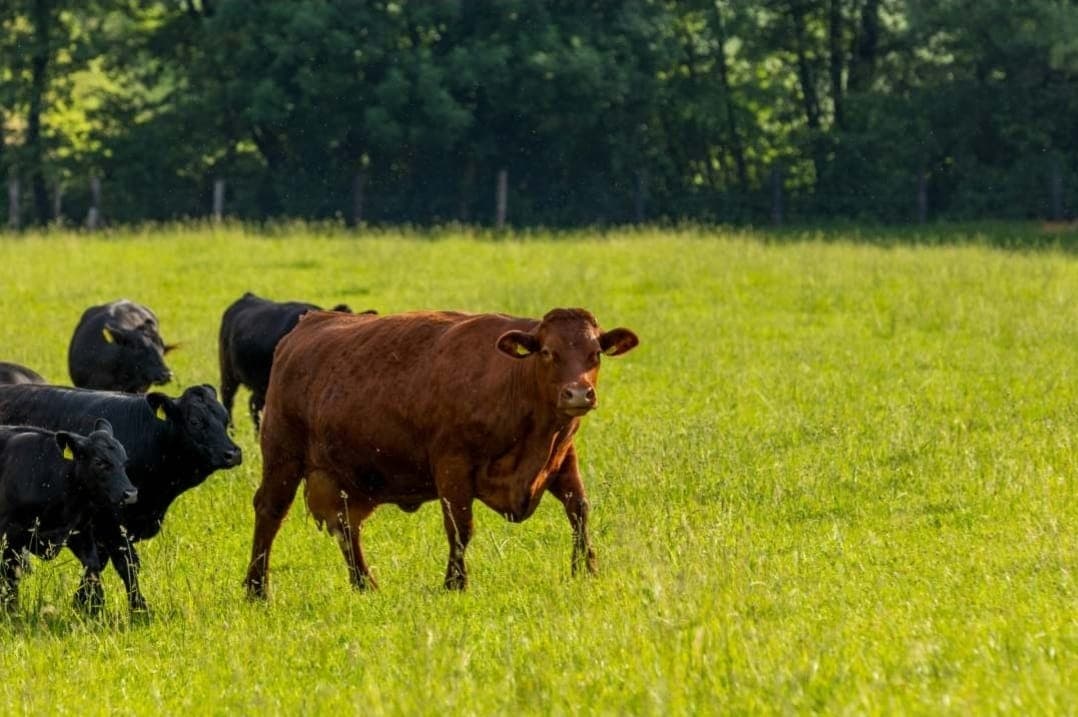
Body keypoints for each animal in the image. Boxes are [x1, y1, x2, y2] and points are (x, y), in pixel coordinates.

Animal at [0, 419, 137, 611]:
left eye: (124, 461)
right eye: (99, 462)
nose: (130, 493)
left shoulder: (78, 530)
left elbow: (92, 566)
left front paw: (92, 608)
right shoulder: (11, 536)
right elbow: (10, 580)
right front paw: (11, 612)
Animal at [244, 307, 638, 598]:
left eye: (595, 354)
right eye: (547, 352)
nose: (578, 393)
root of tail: (309, 323)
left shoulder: (561, 457)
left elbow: (579, 509)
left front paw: (586, 569)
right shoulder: (453, 466)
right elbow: (460, 527)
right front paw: (455, 583)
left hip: (344, 478)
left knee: (345, 525)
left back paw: (364, 584)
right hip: (282, 455)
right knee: (270, 512)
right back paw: (257, 588)